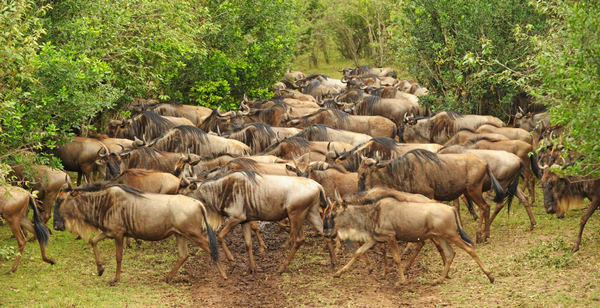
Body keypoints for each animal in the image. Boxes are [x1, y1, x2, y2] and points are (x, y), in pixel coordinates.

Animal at [52, 183, 223, 284]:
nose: (55, 225)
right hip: (180, 235)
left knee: (212, 248)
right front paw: (100, 269)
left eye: (60, 200)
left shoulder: (118, 234)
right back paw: (167, 278)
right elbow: (93, 241)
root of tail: (199, 204)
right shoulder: (108, 232)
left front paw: (115, 279)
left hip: (194, 234)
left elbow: (118, 257)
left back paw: (223, 276)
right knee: (184, 255)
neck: (104, 203)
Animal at [326, 189, 494, 286]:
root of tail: (451, 208)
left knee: (470, 248)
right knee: (450, 253)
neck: (374, 212)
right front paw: (338, 273)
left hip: (452, 235)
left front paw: (401, 281)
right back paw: (439, 279)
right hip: (441, 237)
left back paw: (490, 276)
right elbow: (358, 252)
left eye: (334, 213)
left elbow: (396, 258)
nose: (329, 233)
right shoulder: (374, 239)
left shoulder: (390, 237)